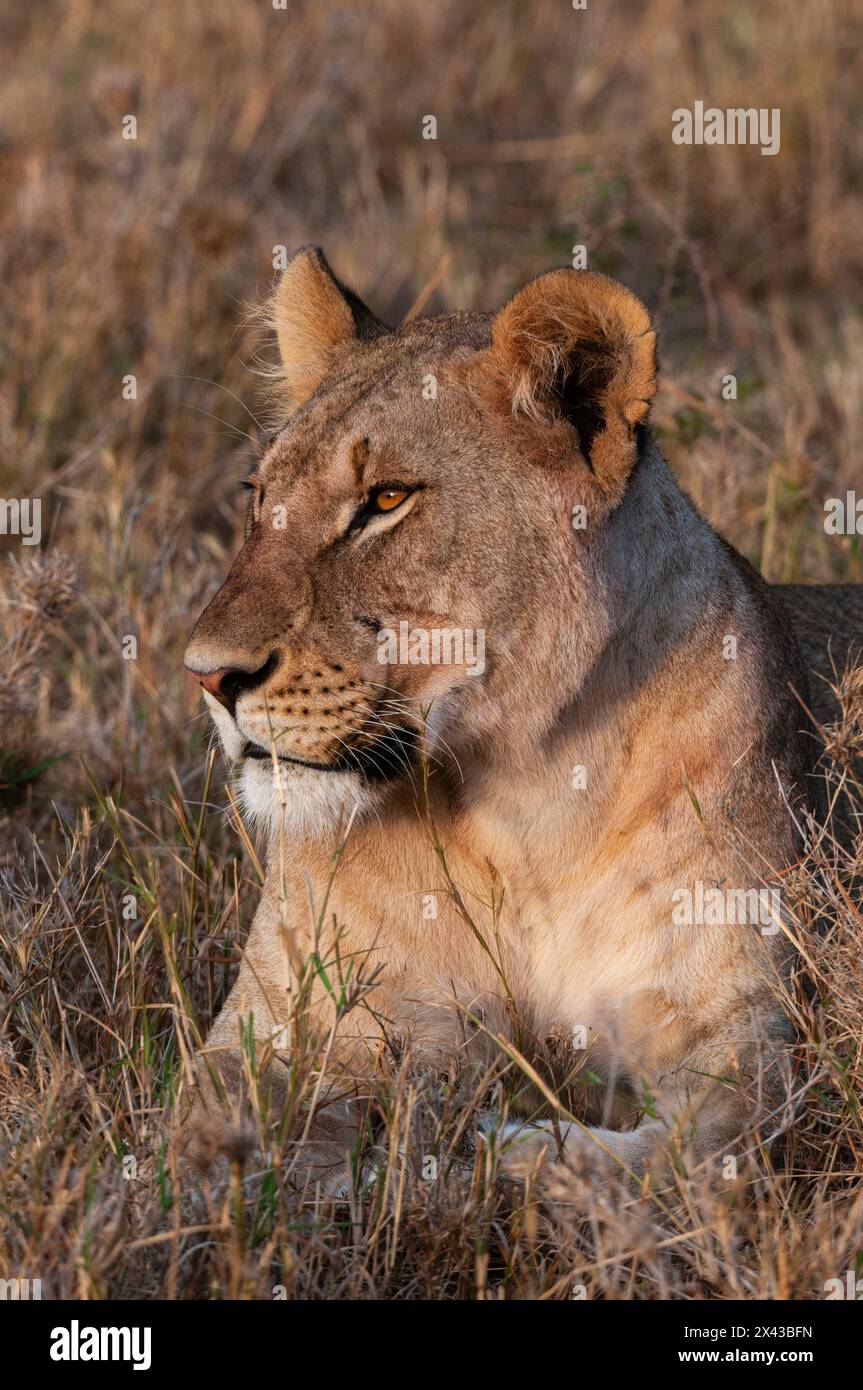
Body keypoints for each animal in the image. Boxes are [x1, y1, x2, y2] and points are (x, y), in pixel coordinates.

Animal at [183, 246, 863, 1190]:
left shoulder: (750, 1056)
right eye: (258, 497)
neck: (519, 807)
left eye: (385, 499)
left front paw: (493, 1149)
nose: (209, 675)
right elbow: (208, 1133)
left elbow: (670, 1161)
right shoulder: (268, 1024)